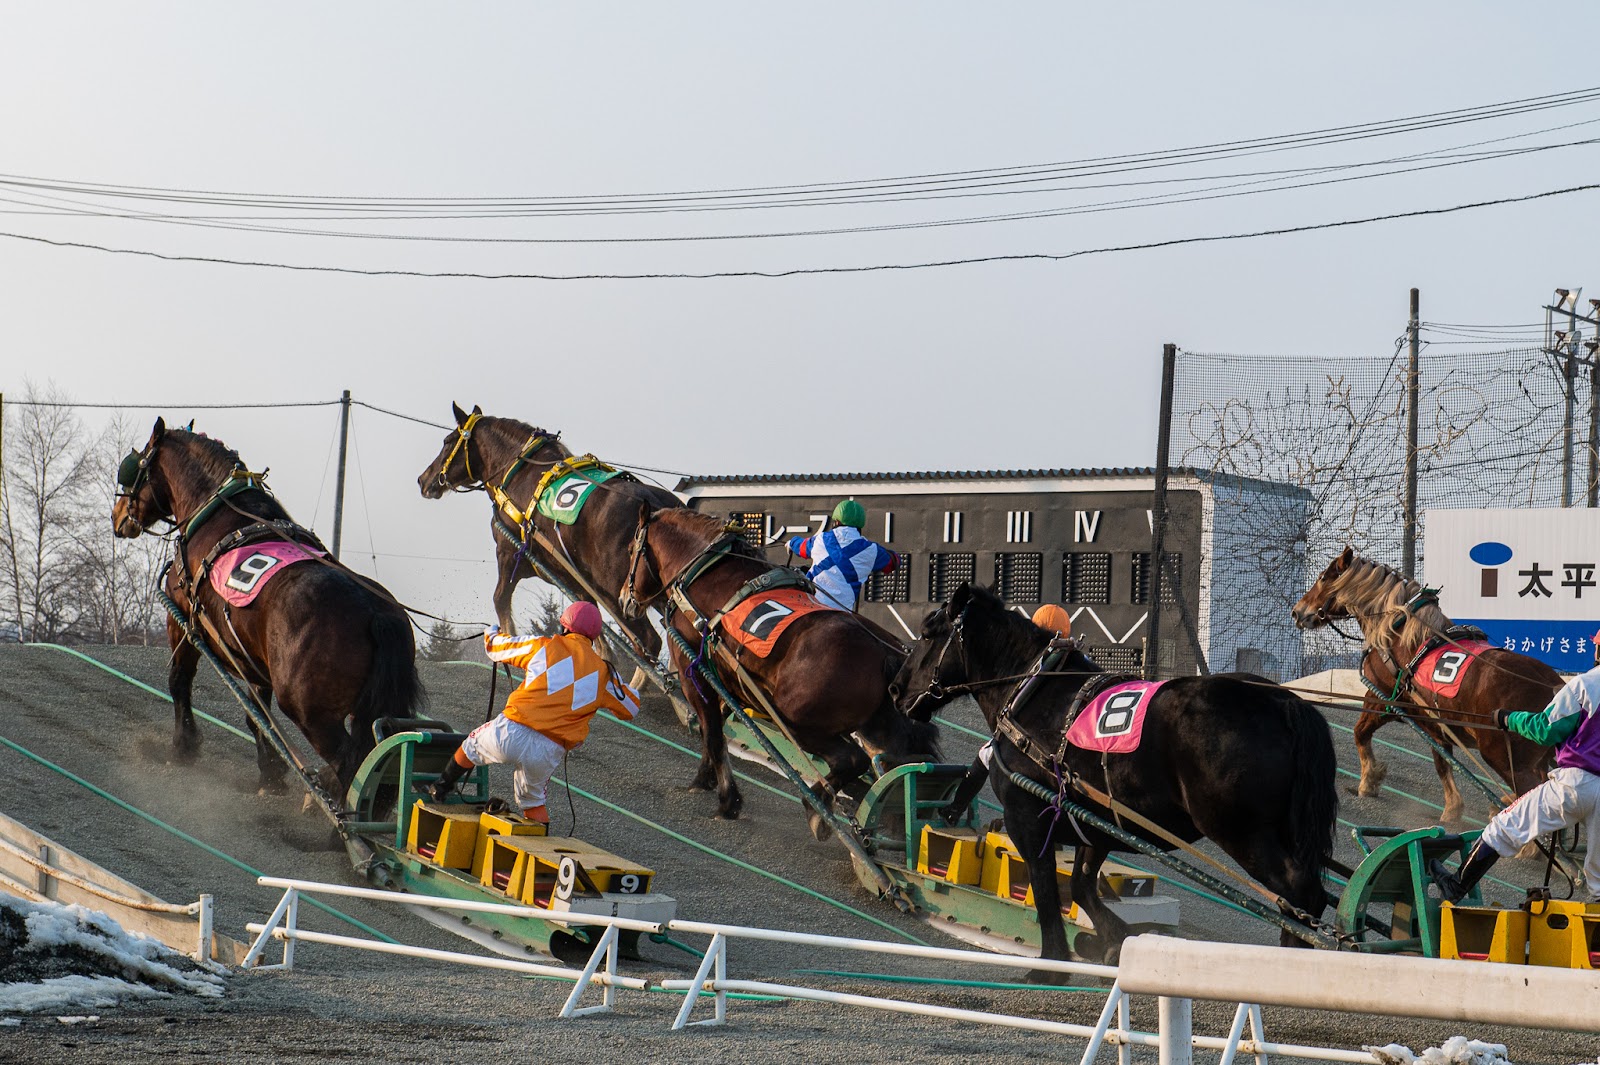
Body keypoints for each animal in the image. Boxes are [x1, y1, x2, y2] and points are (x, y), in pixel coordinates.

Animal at [112, 418, 425, 793]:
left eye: (135, 467)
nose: (117, 516)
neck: (218, 510)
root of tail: (374, 613)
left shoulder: (184, 621)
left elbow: (179, 680)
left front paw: (183, 746)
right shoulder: (250, 653)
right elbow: (259, 715)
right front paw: (271, 770)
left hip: (311, 713)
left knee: (348, 764)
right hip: (377, 711)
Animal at [412, 404, 681, 655]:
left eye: (447, 442)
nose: (423, 479)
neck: (520, 472)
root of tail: (654, 505)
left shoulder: (508, 554)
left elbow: (500, 601)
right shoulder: (574, 578)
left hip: (619, 591)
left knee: (649, 642)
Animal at [614, 505, 934, 831]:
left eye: (630, 550)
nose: (624, 599)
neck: (707, 572)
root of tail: (883, 652)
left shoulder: (695, 671)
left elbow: (713, 734)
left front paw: (728, 800)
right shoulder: (728, 682)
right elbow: (714, 728)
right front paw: (705, 778)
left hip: (794, 719)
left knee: (851, 759)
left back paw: (816, 806)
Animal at [896, 585, 1331, 965]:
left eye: (927, 633)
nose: (896, 689)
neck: (1033, 692)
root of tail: (1282, 702)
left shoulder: (1028, 819)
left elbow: (1047, 890)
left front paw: (1054, 961)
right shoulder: (1095, 823)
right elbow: (1082, 885)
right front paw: (1114, 940)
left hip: (1241, 831)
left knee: (1300, 894)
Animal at [1292, 543, 1555, 815]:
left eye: (1323, 578)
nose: (1297, 612)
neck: (1398, 632)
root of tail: (1553, 685)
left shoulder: (1382, 700)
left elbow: (1360, 732)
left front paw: (1369, 780)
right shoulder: (1435, 724)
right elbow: (1443, 763)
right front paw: (1453, 807)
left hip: (1507, 761)